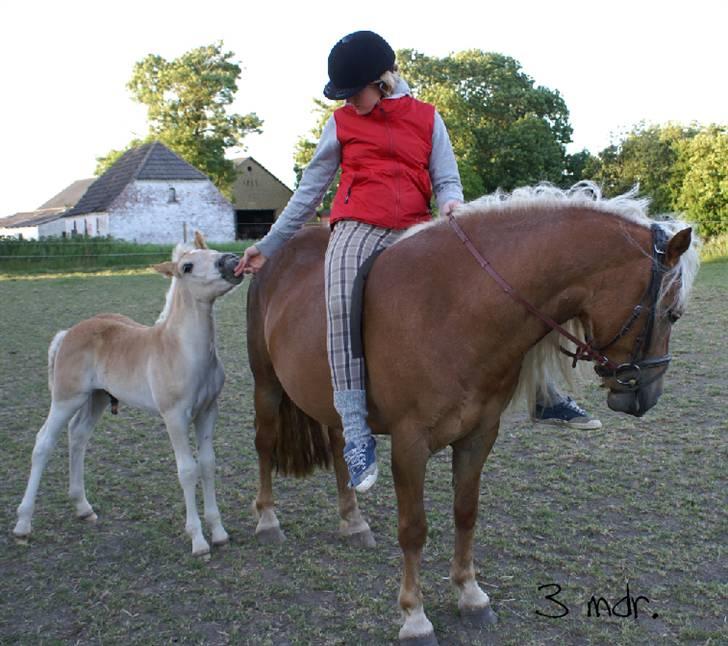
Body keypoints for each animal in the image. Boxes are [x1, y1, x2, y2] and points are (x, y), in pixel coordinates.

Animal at [14, 233, 242, 556]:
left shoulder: (208, 411)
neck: (181, 350)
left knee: (78, 435)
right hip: (66, 398)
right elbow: (188, 470)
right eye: (186, 267)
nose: (232, 261)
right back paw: (23, 525)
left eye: (212, 251)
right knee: (43, 442)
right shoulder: (175, 416)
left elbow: (208, 465)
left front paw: (219, 533)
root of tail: (68, 332)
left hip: (96, 397)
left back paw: (83, 507)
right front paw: (198, 540)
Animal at [246, 185, 700, 644]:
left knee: (341, 447)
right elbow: (414, 528)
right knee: (265, 445)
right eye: (671, 313)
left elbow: (466, 512)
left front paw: (470, 594)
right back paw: (267, 520)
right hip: (266, 386)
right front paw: (415, 616)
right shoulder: (410, 443)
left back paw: (353, 522)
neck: (456, 307)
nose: (648, 396)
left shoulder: (479, 434)